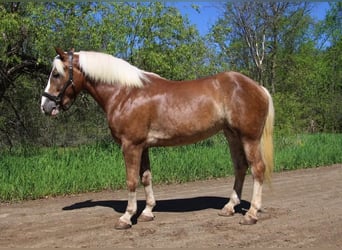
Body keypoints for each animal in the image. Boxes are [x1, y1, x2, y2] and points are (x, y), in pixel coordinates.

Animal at [40, 47, 276, 229]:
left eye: (56, 74)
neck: (125, 93)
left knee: (257, 169)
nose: (45, 106)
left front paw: (127, 217)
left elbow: (131, 180)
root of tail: (259, 87)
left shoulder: (130, 146)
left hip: (249, 138)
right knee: (240, 168)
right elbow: (146, 177)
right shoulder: (142, 146)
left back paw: (251, 214)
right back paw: (228, 208)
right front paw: (147, 212)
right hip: (232, 136)